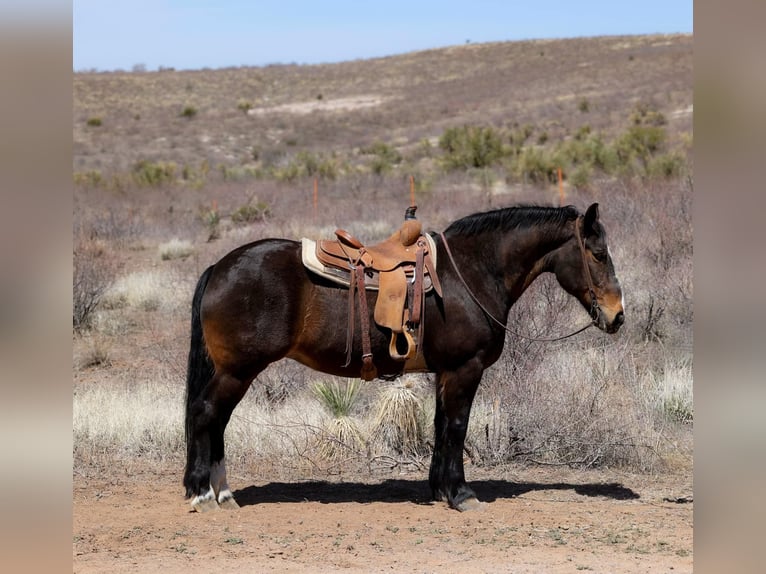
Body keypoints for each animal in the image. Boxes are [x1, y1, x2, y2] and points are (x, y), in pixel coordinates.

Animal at [184, 202, 625, 512]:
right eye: (598, 253)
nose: (617, 315)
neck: (471, 272)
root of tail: (219, 267)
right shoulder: (465, 369)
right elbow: (458, 427)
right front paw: (461, 493)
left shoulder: (446, 372)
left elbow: (441, 426)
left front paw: (440, 489)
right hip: (237, 370)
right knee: (207, 414)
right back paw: (204, 494)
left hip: (235, 371)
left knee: (216, 420)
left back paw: (222, 493)